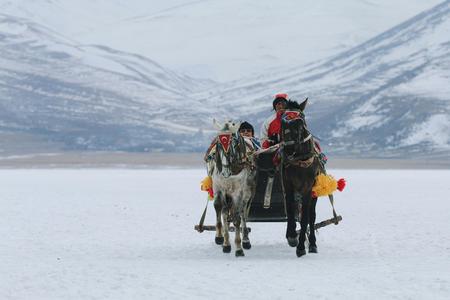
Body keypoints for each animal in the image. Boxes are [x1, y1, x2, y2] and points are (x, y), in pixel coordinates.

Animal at [210, 119, 256, 255]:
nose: (225, 172)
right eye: (218, 143)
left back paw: (246, 240)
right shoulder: (220, 189)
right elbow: (223, 212)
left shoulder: (238, 192)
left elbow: (237, 218)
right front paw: (225, 242)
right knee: (221, 208)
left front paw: (239, 247)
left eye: (233, 143)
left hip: (247, 192)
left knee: (243, 212)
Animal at [280, 99, 322, 258]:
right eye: (282, 122)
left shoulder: (308, 188)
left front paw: (301, 247)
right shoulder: (288, 184)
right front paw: (292, 236)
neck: (300, 160)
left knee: (311, 216)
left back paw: (312, 244)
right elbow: (290, 209)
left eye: (300, 121)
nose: (288, 149)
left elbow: (305, 218)